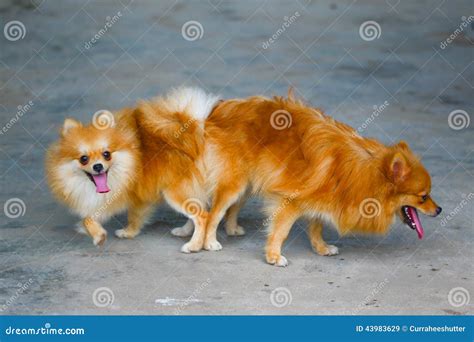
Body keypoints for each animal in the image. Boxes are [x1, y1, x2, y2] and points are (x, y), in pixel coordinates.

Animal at [46, 87, 220, 251]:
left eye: (106, 154)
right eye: (84, 158)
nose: (98, 166)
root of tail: (194, 133)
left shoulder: (137, 196)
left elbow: (133, 216)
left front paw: (128, 232)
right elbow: (88, 218)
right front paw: (97, 234)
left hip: (175, 191)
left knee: (202, 215)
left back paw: (193, 246)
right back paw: (184, 231)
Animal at [199, 89, 440, 266]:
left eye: (429, 195)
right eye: (423, 197)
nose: (439, 210)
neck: (367, 174)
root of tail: (220, 108)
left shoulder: (319, 200)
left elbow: (316, 227)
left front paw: (321, 248)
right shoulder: (290, 201)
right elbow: (280, 231)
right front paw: (273, 256)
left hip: (248, 184)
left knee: (233, 207)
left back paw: (232, 228)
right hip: (235, 183)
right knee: (215, 213)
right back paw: (210, 242)